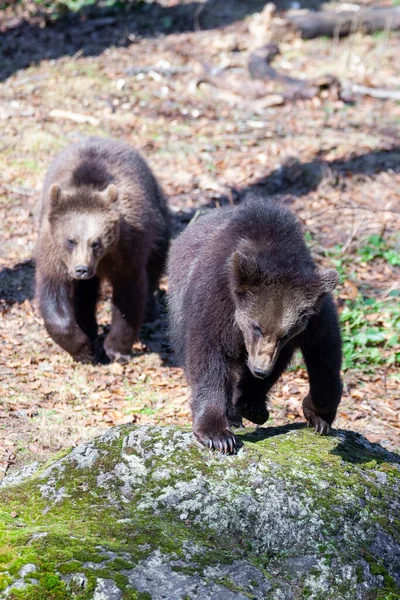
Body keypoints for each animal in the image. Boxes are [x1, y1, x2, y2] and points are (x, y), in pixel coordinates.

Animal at [35, 138, 170, 364]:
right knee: (85, 294)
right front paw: (83, 348)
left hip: (157, 218)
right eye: (71, 240)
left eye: (96, 242)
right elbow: (53, 294)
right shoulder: (53, 254)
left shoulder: (127, 250)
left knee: (156, 261)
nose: (82, 269)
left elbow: (128, 297)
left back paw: (150, 310)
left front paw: (115, 349)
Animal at [167, 195, 342, 452]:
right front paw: (217, 435)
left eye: (287, 333)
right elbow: (208, 356)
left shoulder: (314, 317)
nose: (260, 369)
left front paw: (318, 416)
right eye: (256, 327)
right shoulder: (216, 299)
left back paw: (252, 405)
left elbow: (325, 357)